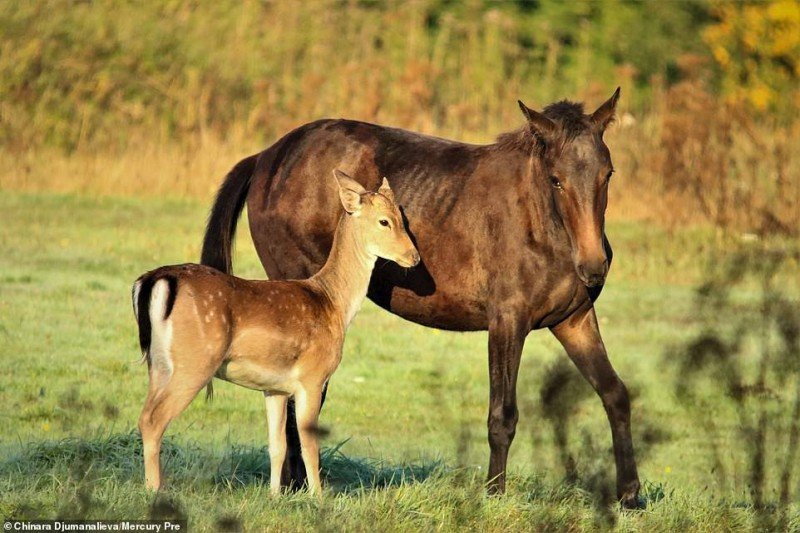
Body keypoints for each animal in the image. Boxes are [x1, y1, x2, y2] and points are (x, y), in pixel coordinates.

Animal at [202, 88, 644, 508]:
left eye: (608, 173)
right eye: (556, 179)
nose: (594, 266)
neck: (538, 221)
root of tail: (266, 157)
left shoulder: (574, 320)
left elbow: (615, 394)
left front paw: (630, 496)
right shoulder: (507, 322)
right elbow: (502, 415)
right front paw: (494, 495)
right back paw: (298, 483)